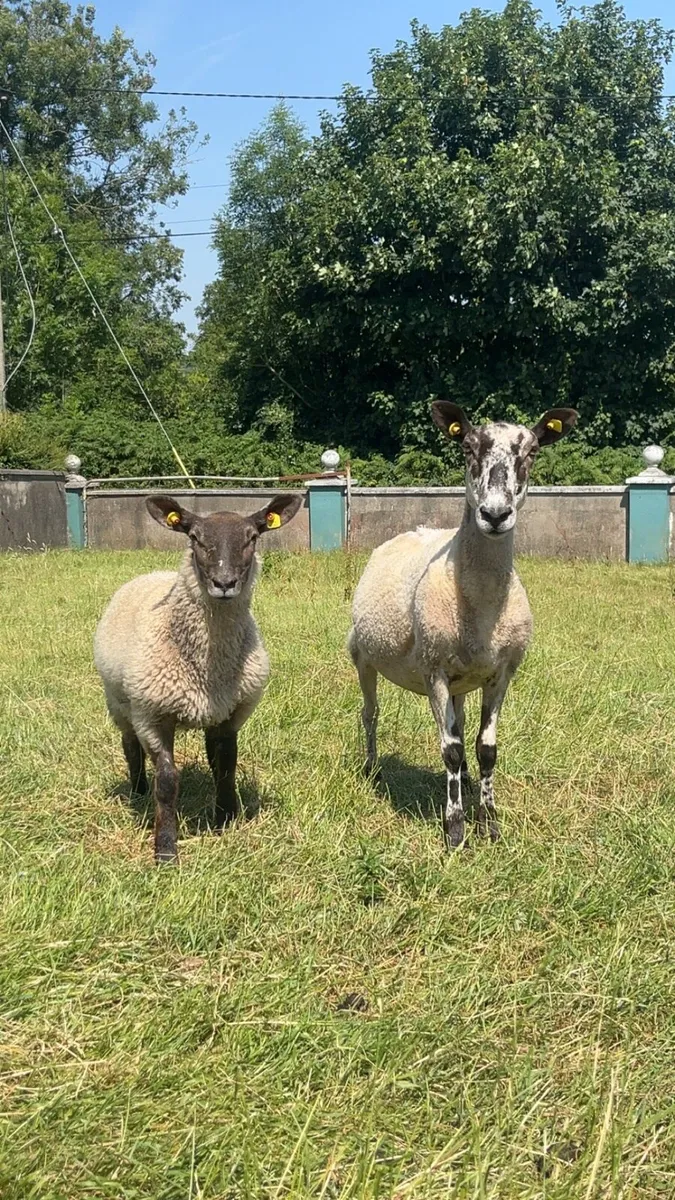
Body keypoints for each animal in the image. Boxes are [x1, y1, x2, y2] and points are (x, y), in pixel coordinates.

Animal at [94, 491, 303, 862]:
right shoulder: (152, 715)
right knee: (130, 745)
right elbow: (167, 781)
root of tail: (151, 573)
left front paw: (225, 820)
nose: (224, 584)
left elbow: (226, 766)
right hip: (120, 701)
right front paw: (165, 850)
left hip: (208, 712)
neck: (209, 666)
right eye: (194, 537)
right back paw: (138, 791)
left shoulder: (232, 712)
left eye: (252, 537)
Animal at [348, 402, 578, 849]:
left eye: (533, 451)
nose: (495, 514)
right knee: (370, 714)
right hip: (363, 656)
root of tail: (416, 528)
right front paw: (454, 829)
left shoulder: (501, 673)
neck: (482, 606)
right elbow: (450, 749)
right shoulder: (434, 669)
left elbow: (486, 748)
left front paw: (489, 821)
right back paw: (371, 767)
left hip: (461, 678)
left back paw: (467, 780)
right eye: (468, 447)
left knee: (459, 722)